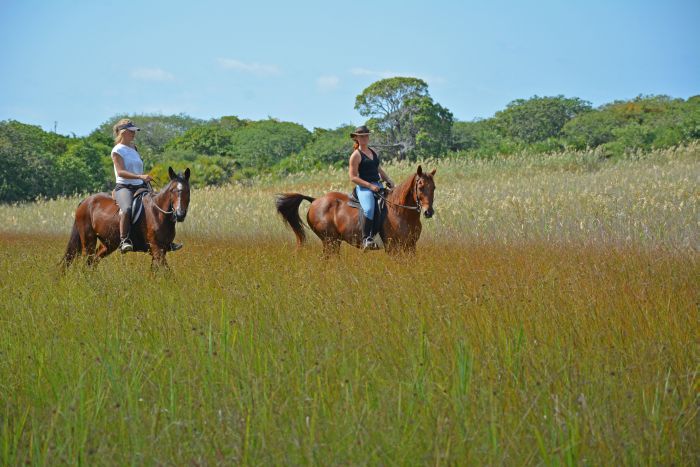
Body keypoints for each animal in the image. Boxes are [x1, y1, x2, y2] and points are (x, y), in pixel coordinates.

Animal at [61, 168, 189, 270]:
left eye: (187, 191)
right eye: (172, 191)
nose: (180, 214)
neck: (158, 212)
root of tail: (85, 201)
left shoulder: (161, 249)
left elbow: (156, 271)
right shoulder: (156, 248)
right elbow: (167, 272)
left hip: (108, 244)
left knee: (93, 261)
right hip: (89, 241)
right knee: (87, 261)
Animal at [274, 165, 434, 256]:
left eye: (433, 187)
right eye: (420, 187)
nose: (428, 212)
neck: (401, 212)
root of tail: (315, 200)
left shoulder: (411, 246)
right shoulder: (393, 247)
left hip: (334, 242)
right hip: (329, 241)